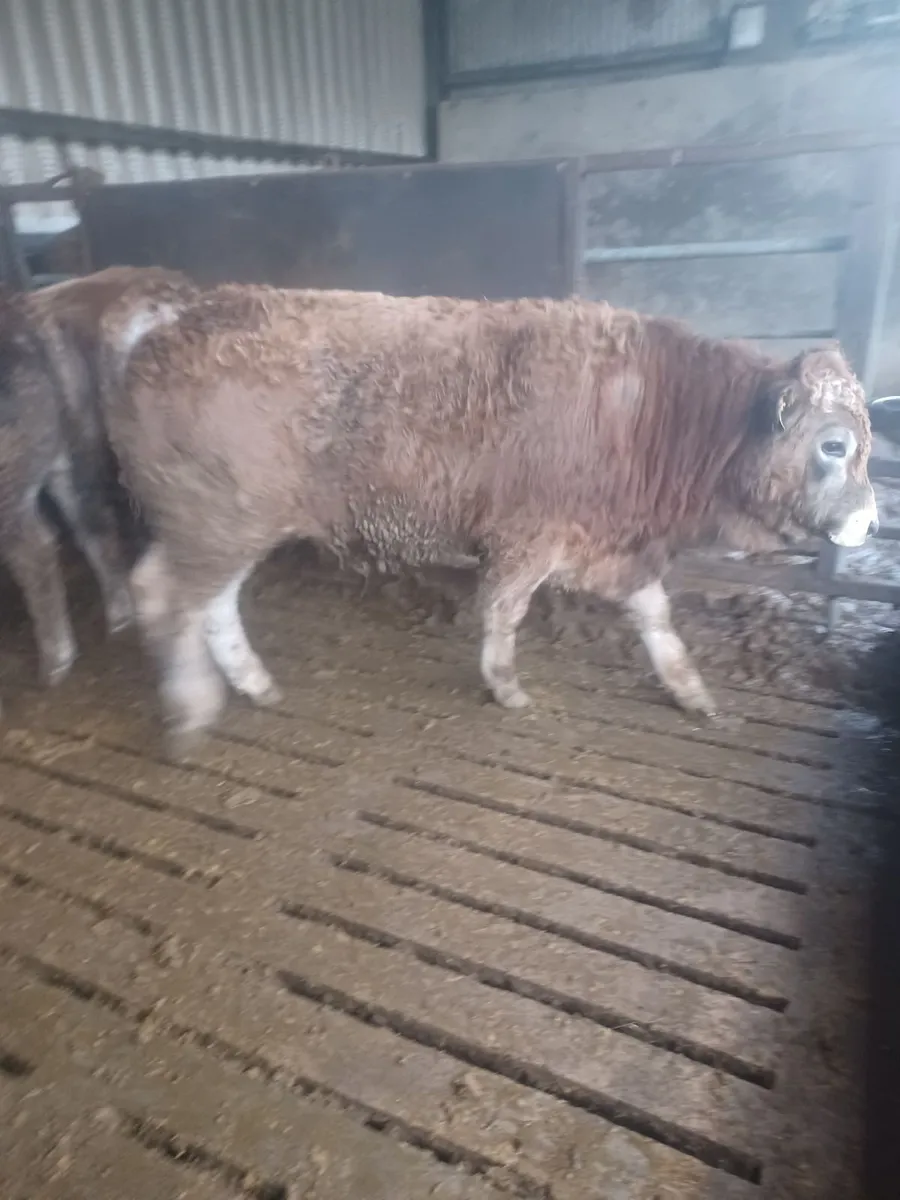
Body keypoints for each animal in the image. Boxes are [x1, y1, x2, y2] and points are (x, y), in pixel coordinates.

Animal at [100, 284, 877, 747]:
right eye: (834, 445)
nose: (871, 522)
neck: (647, 411)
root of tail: (170, 318)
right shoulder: (525, 538)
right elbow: (503, 611)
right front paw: (503, 685)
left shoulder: (614, 545)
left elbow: (656, 617)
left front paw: (691, 691)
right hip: (215, 521)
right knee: (167, 597)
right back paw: (191, 707)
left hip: (225, 525)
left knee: (204, 603)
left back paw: (251, 683)